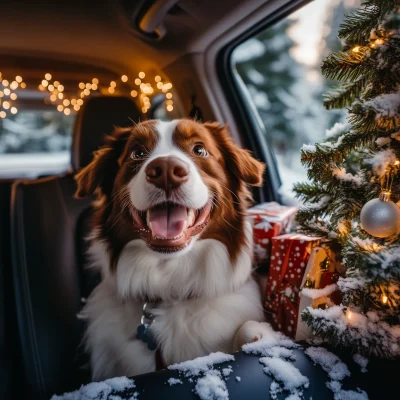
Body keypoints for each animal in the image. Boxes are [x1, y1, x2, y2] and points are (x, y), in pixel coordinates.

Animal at [75, 119, 276, 382]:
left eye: (199, 149)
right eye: (137, 152)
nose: (166, 170)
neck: (171, 285)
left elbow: (247, 327)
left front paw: (258, 335)